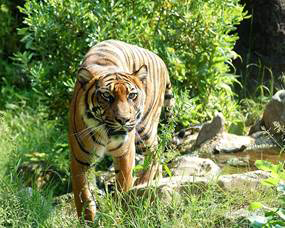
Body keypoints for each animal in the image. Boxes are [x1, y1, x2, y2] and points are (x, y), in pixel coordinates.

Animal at [67, 39, 173, 221]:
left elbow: (123, 186)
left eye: (132, 95)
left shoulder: (124, 154)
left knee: (154, 151)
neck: (106, 134)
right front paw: (87, 220)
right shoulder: (80, 160)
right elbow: (83, 196)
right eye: (107, 96)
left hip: (145, 129)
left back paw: (144, 183)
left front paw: (121, 213)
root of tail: (160, 59)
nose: (123, 120)